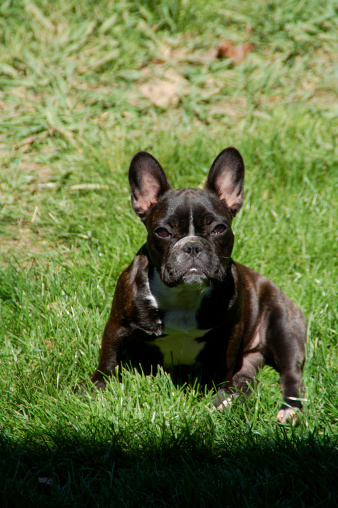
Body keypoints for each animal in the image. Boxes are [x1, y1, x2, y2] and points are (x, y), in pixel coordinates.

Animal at [90, 146, 306, 420]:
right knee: (247, 379)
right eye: (162, 232)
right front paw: (94, 388)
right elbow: (107, 360)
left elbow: (223, 369)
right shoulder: (117, 325)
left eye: (219, 229)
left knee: (290, 372)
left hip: (283, 326)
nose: (192, 246)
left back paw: (287, 408)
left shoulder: (230, 333)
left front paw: (221, 393)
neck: (184, 295)